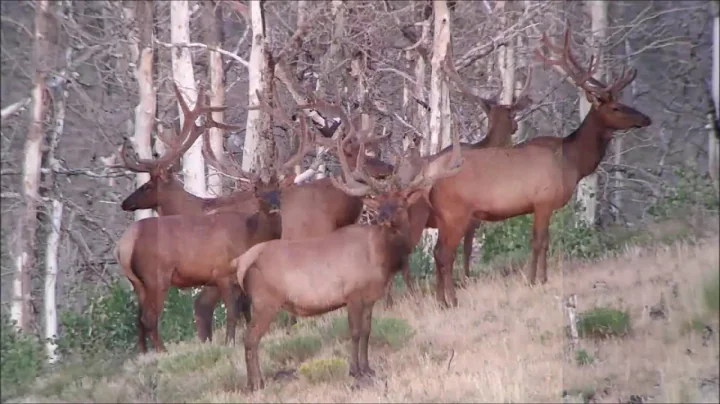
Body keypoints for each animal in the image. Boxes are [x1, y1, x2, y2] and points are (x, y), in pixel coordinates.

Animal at [228, 109, 464, 391]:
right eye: (380, 202)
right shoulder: (352, 293)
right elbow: (353, 332)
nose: (383, 217)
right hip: (265, 301)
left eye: (399, 203)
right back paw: (256, 384)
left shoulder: (370, 297)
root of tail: (241, 264)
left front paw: (368, 368)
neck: (382, 257)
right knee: (250, 338)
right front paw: (355, 371)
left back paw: (258, 381)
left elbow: (367, 331)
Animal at [425, 27, 652, 308]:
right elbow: (539, 241)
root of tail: (432, 187)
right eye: (616, 107)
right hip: (456, 214)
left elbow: (543, 241)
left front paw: (538, 277)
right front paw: (535, 279)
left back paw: (441, 301)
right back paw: (452, 301)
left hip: (446, 218)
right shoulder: (543, 200)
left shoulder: (542, 205)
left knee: (438, 253)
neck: (572, 162)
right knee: (445, 254)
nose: (646, 118)